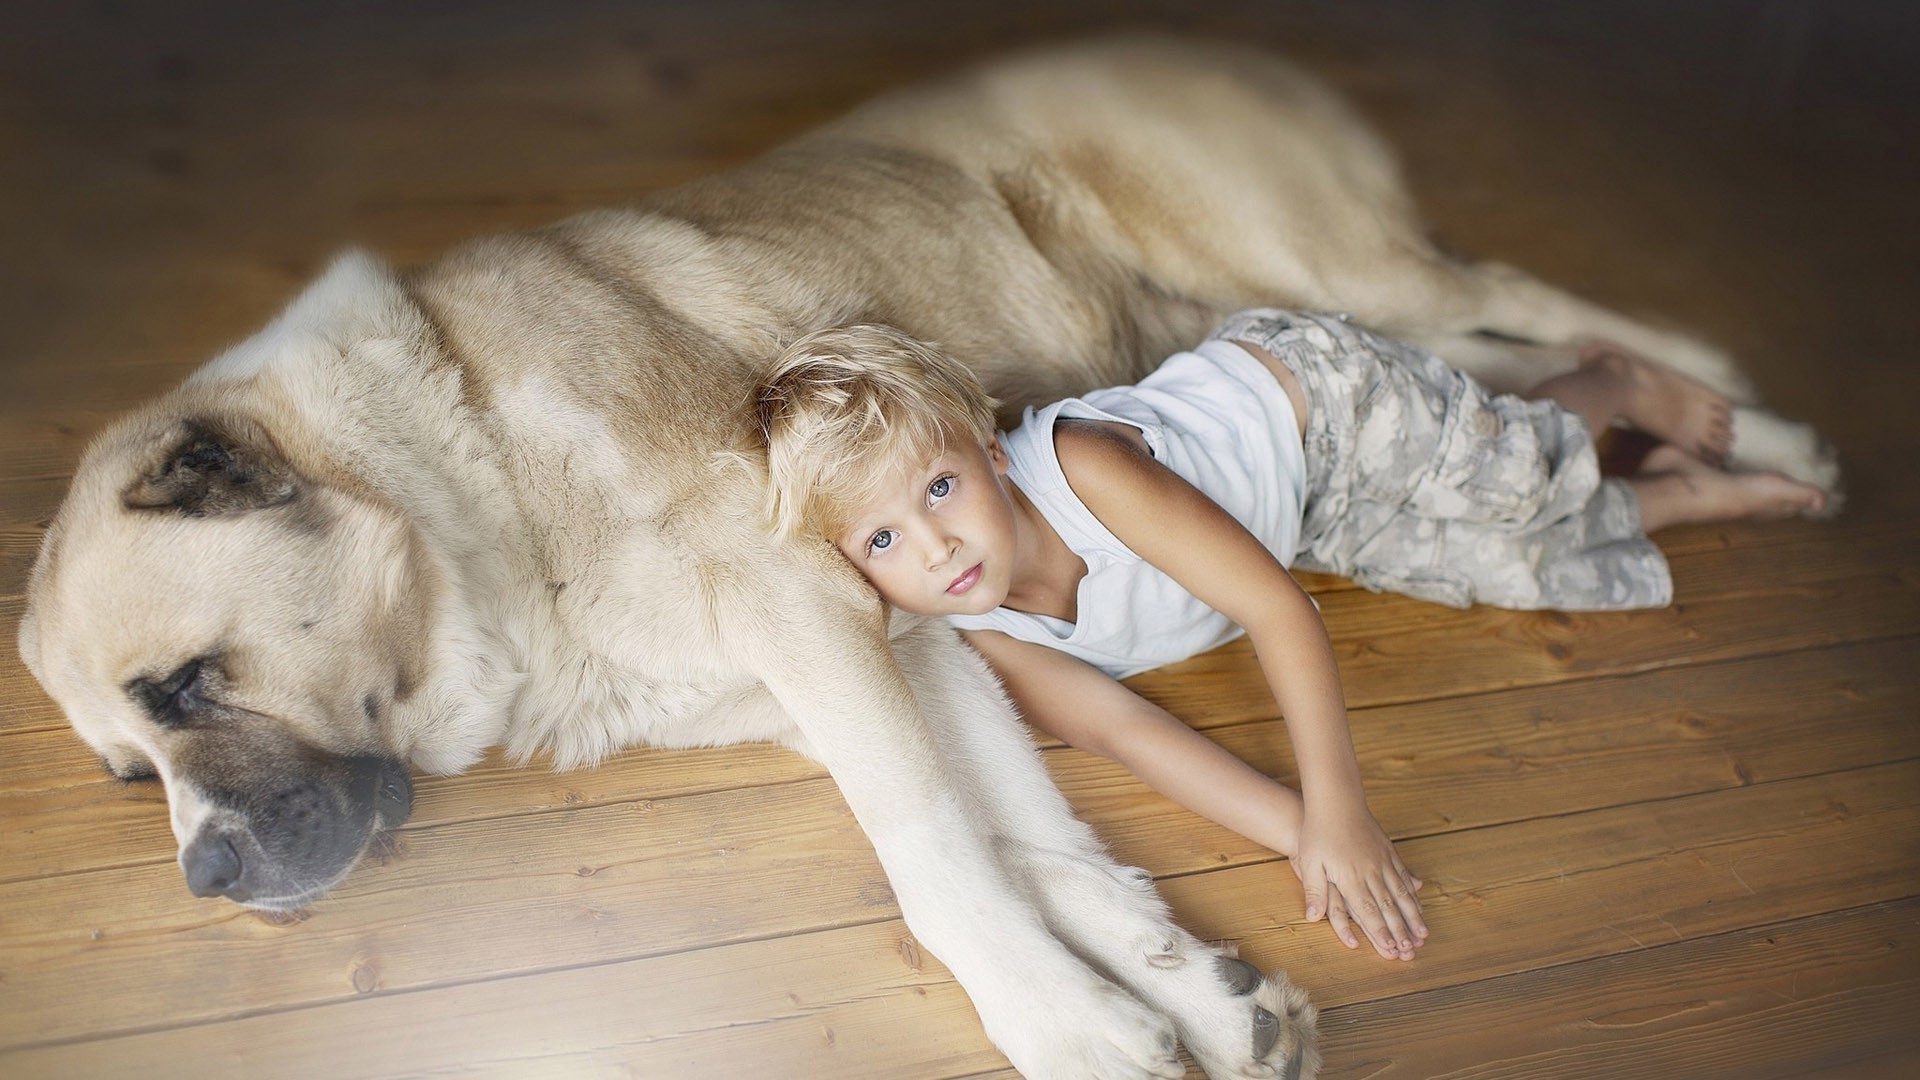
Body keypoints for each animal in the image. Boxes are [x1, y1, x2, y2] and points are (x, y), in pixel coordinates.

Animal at [18, 35, 1843, 1076]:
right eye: (123, 776)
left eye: (184, 687)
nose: (208, 882)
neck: (458, 479)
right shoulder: (897, 648)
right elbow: (1023, 843)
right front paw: (1185, 994)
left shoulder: (823, 624)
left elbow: (939, 863)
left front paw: (1072, 1030)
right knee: (1534, 373)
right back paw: (1701, 442)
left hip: (1330, 266)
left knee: (1528, 295)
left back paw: (1765, 424)